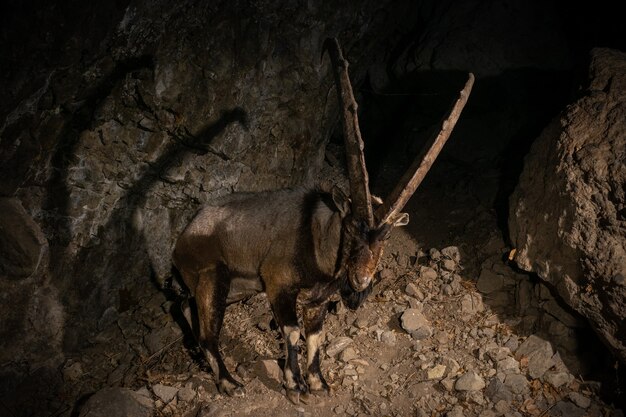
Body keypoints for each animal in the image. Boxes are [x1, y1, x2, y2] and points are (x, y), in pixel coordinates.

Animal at [172, 39, 472, 404]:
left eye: (385, 237)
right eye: (353, 228)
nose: (360, 281)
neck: (318, 241)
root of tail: (183, 237)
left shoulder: (319, 300)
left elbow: (315, 335)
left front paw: (317, 382)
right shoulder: (278, 283)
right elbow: (292, 332)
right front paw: (294, 384)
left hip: (229, 288)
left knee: (186, 309)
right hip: (212, 277)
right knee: (207, 333)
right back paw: (229, 382)